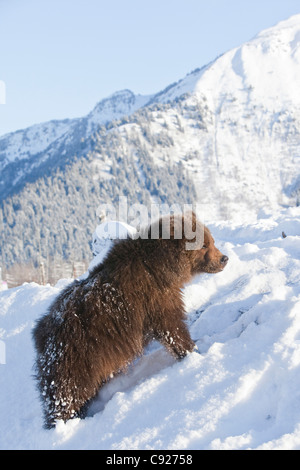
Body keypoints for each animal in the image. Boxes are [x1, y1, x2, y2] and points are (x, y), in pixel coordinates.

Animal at [32, 211, 227, 428]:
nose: (224, 258)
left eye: (211, 241)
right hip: (76, 357)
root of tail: (42, 331)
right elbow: (173, 328)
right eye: (204, 245)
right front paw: (193, 351)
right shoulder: (154, 299)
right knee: (67, 394)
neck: (162, 267)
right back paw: (65, 421)